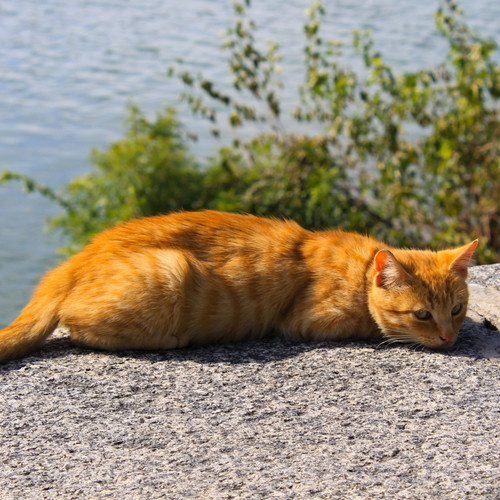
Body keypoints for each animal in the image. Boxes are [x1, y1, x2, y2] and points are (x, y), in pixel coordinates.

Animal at [0, 209, 476, 362]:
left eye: (456, 309)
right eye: (422, 314)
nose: (448, 338)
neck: (359, 270)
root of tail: (73, 261)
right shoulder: (309, 321)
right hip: (172, 269)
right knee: (79, 327)